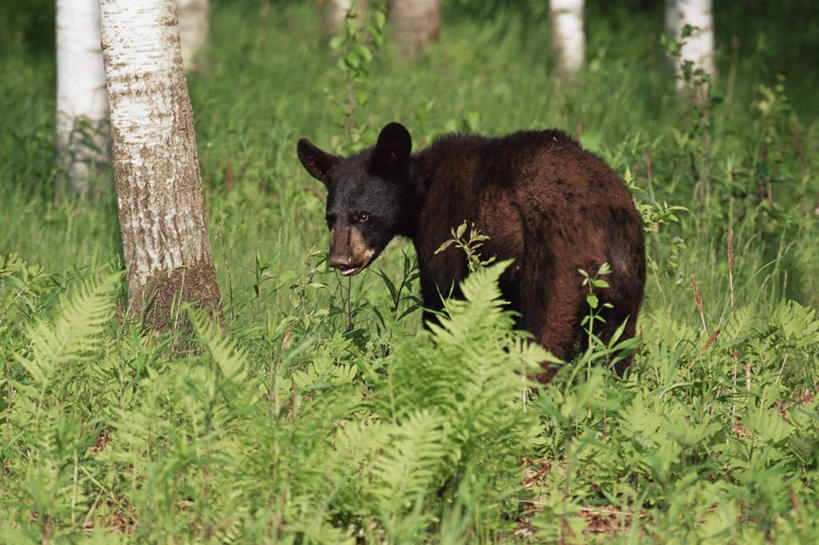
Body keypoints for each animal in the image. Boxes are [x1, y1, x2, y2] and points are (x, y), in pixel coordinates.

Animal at [296, 122, 648, 378]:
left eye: (364, 215)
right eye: (330, 218)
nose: (340, 259)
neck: (423, 191)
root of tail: (602, 224)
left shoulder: (446, 233)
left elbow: (443, 302)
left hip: (555, 268)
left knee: (544, 337)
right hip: (627, 280)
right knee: (614, 348)